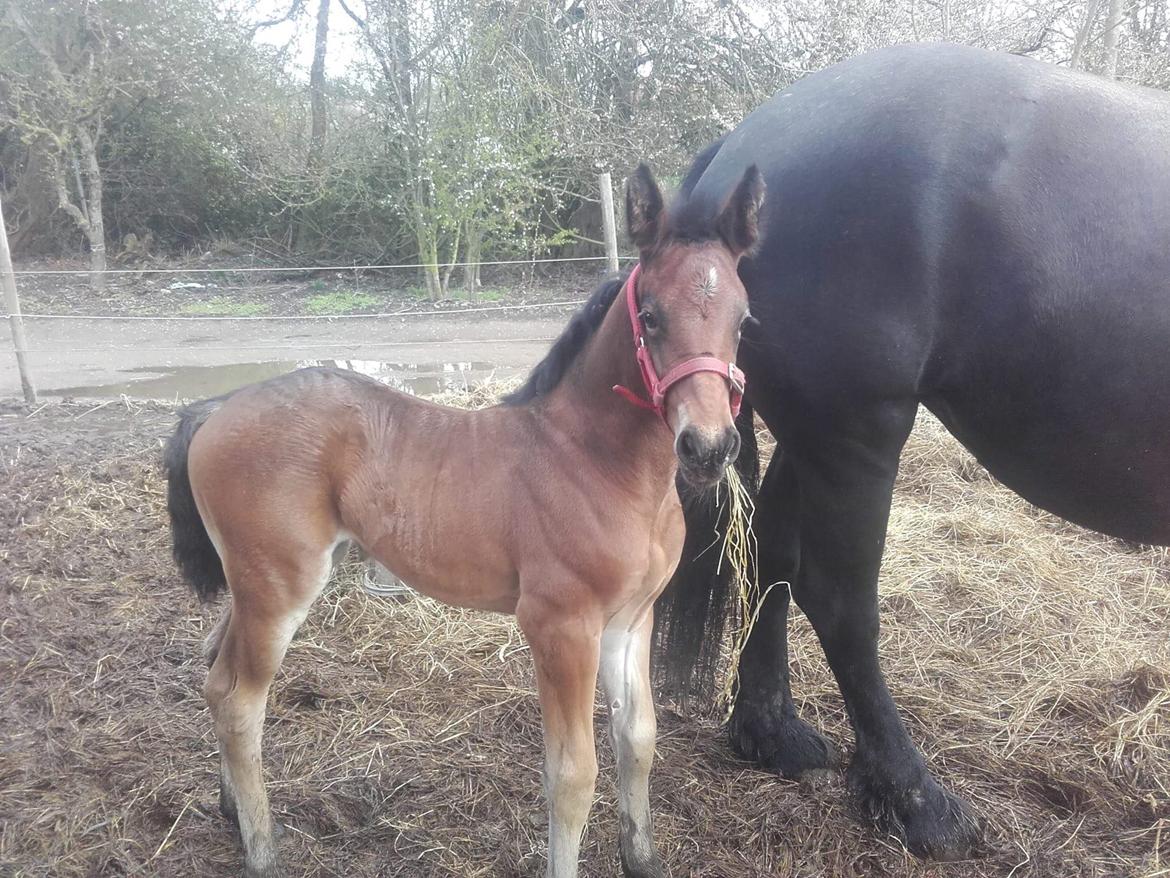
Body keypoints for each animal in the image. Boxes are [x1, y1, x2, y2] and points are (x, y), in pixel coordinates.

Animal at [167, 166, 767, 878]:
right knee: (239, 702)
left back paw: (231, 810)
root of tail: (217, 406)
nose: (709, 447)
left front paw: (641, 858)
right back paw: (261, 851)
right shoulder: (561, 627)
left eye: (743, 319)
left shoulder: (632, 619)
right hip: (279, 586)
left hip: (259, 581)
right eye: (650, 315)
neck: (597, 463)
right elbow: (572, 774)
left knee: (215, 672)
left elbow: (638, 740)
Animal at [655, 44, 1170, 861]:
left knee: (772, 555)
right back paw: (913, 799)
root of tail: (744, 140)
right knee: (840, 601)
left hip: (815, 433)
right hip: (857, 431)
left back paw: (772, 733)